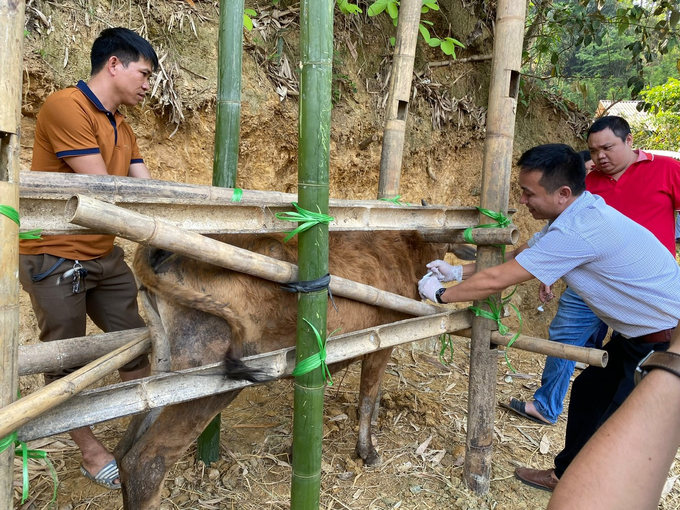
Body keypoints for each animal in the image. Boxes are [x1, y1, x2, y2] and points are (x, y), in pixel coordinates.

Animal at [117, 232, 446, 510]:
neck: (406, 248)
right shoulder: (382, 339)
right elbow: (366, 399)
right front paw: (367, 452)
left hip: (165, 369)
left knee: (124, 450)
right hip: (206, 379)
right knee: (145, 463)